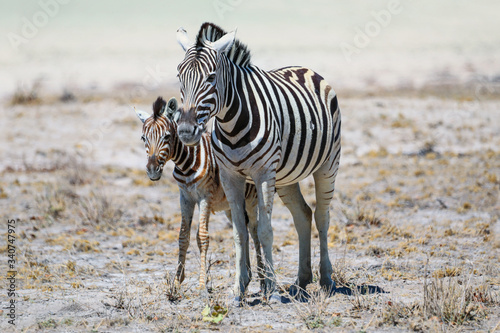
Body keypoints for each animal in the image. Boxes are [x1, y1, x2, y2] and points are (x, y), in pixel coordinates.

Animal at [135, 95, 264, 288]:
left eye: (167, 136)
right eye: (143, 138)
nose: (152, 171)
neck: (186, 163)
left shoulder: (205, 197)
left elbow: (202, 237)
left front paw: (202, 284)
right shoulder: (185, 197)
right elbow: (183, 236)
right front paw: (177, 281)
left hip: (251, 199)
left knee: (254, 230)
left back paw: (264, 279)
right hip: (230, 206)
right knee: (244, 230)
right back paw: (246, 276)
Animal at [174, 22, 342, 300]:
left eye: (211, 77)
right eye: (179, 77)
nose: (186, 131)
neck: (231, 122)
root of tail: (304, 68)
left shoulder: (263, 174)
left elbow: (264, 229)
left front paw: (271, 290)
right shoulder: (230, 176)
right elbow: (239, 232)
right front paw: (238, 288)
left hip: (328, 164)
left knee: (322, 216)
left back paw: (326, 279)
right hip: (285, 177)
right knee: (303, 215)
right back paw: (302, 279)